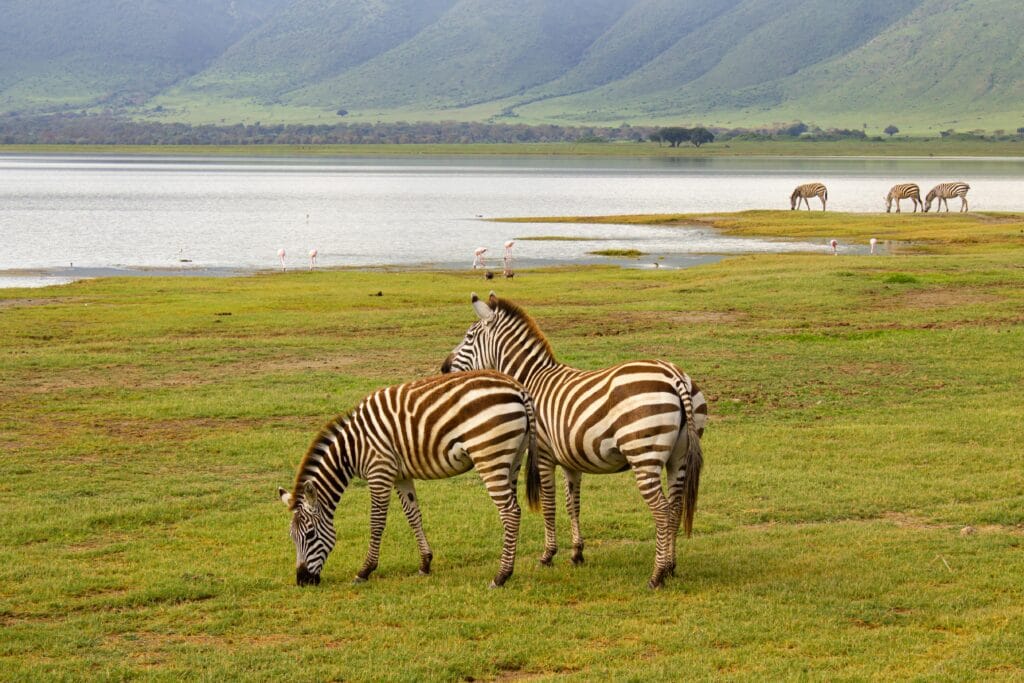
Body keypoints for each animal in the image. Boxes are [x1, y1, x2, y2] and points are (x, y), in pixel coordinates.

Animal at [277, 369, 540, 589]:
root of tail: (519, 389)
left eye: (310, 535)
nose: (302, 581)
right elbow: (413, 516)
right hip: (513, 458)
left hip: (489, 456)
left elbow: (376, 522)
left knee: (510, 512)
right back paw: (507, 570)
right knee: (514, 509)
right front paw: (425, 563)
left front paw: (365, 571)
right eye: (291, 537)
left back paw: (501, 576)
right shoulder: (400, 476)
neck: (351, 448)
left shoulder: (379, 471)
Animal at [441, 293, 707, 589]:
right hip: (678, 457)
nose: (443, 368)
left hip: (644, 455)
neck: (531, 379)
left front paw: (547, 556)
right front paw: (577, 553)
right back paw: (671, 567)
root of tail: (675, 376)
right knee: (675, 507)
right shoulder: (572, 460)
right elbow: (573, 505)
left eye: (468, 336)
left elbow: (549, 505)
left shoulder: (544, 454)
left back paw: (657, 575)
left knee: (661, 510)